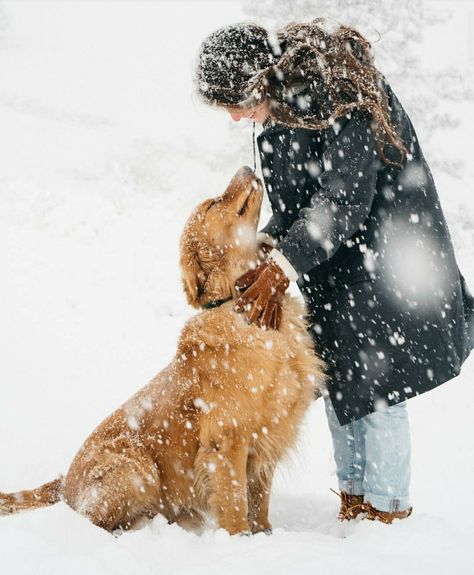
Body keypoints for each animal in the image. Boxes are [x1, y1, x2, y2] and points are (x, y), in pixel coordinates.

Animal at [0, 165, 326, 536]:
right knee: (94, 520)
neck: (238, 305)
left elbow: (259, 501)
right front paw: (240, 540)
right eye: (213, 203)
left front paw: (265, 535)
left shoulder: (269, 435)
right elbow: (235, 505)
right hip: (136, 467)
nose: (246, 167)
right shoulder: (228, 439)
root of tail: (64, 483)